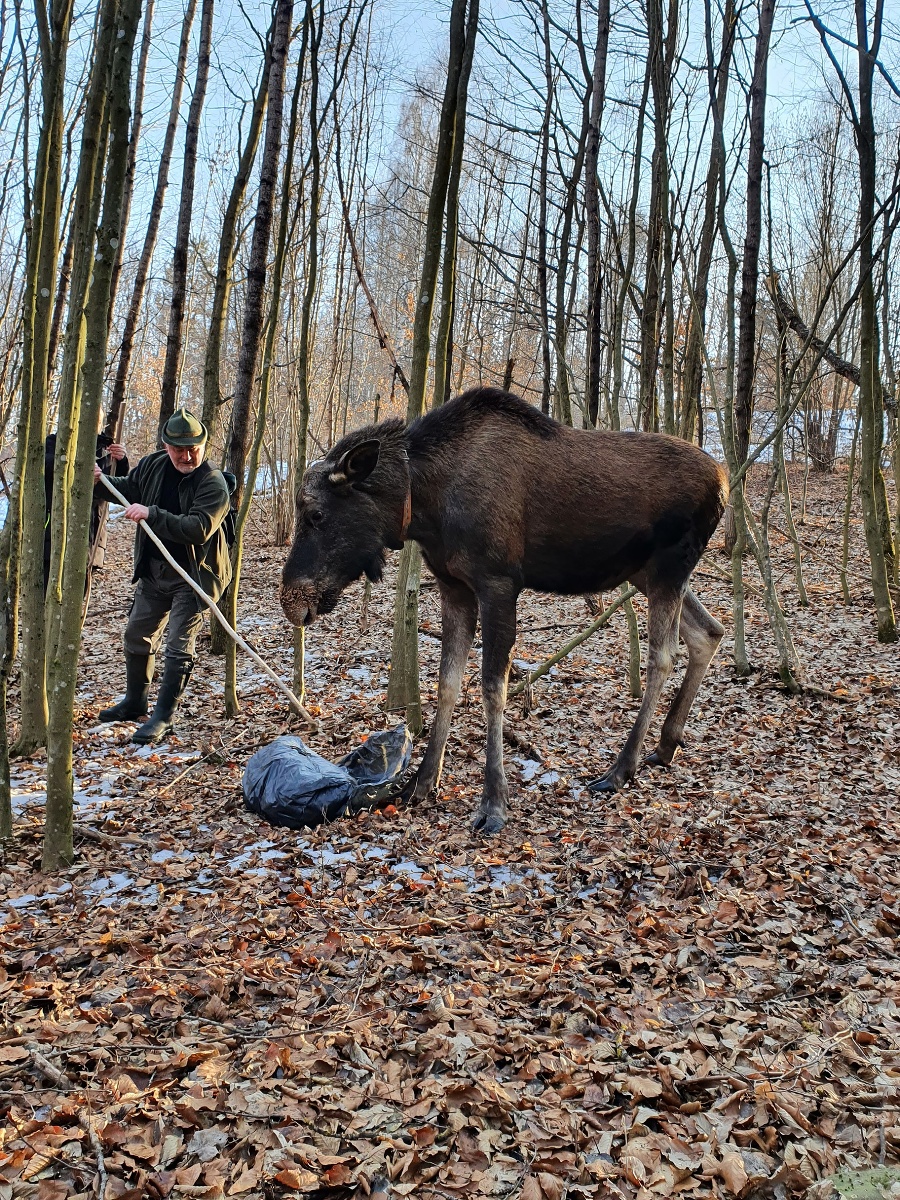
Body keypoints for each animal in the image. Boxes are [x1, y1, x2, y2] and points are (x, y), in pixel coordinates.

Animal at [283, 388, 734, 830]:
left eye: (316, 514)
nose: (291, 601)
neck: (423, 506)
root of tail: (725, 481)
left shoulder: (498, 583)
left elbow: (492, 689)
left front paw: (494, 803)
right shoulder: (453, 587)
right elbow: (446, 683)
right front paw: (422, 782)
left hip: (668, 568)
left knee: (664, 655)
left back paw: (622, 767)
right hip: (648, 573)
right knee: (709, 631)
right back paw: (665, 744)